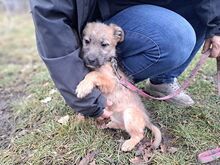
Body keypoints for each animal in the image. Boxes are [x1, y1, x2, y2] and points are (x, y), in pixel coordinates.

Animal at [75, 22, 162, 152]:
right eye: (87, 41)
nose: (90, 60)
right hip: (116, 116)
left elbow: (93, 74)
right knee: (123, 127)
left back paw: (128, 144)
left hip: (130, 114)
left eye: (104, 44)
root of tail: (147, 120)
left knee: (139, 134)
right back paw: (112, 125)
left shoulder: (112, 82)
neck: (106, 62)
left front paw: (83, 88)